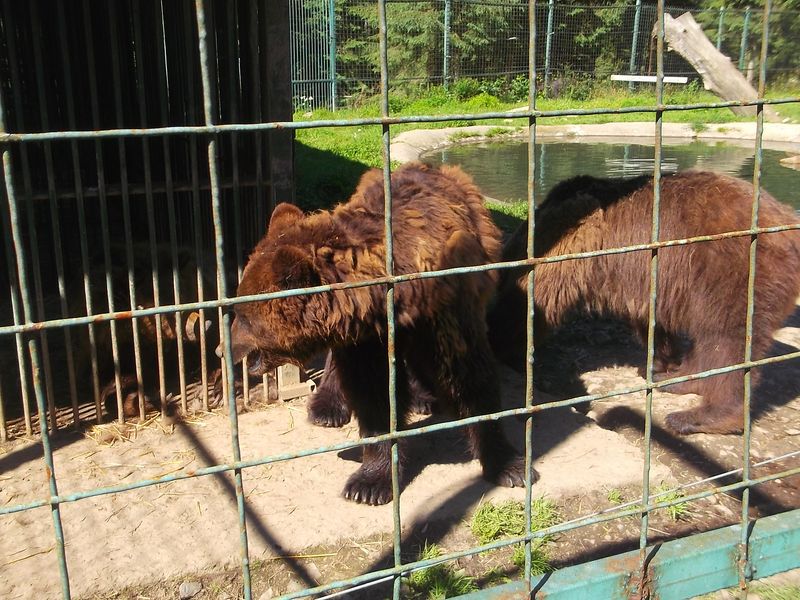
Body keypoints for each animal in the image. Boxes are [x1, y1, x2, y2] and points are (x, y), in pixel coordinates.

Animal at [227, 162, 527, 505]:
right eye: (238, 309)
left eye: (243, 316)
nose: (223, 349)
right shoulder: (366, 340)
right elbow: (374, 397)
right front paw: (368, 484)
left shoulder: (446, 310)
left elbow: (472, 376)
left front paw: (509, 465)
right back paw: (328, 407)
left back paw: (423, 396)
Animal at [487, 170, 800, 435]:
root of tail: (787, 221)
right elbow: (652, 320)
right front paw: (659, 362)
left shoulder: (574, 240)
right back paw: (681, 378)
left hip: (734, 269)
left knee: (727, 338)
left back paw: (700, 416)